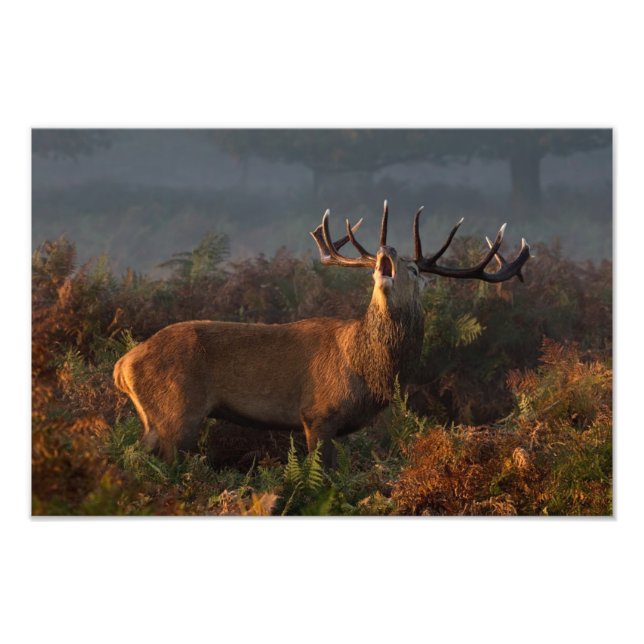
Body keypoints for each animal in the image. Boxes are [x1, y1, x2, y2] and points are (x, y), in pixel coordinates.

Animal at [113, 201, 530, 468]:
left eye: (414, 270)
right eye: (379, 267)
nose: (387, 249)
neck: (369, 373)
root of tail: (123, 364)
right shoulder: (318, 414)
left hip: (157, 417)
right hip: (176, 411)